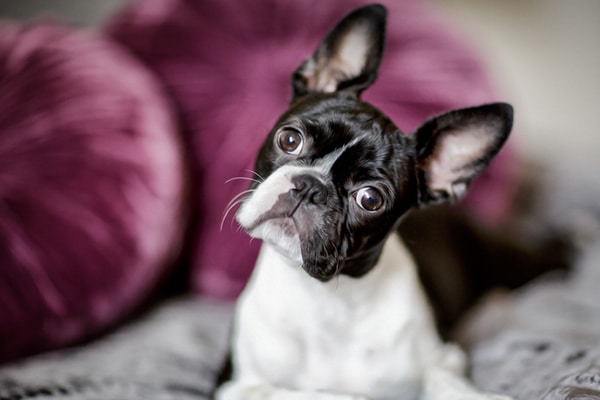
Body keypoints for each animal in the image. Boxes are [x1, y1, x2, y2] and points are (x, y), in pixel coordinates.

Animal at [216, 3, 516, 400]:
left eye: (370, 199)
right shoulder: (235, 384)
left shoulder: (447, 357)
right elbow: (298, 392)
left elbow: (443, 381)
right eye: (289, 139)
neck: (325, 299)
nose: (311, 187)